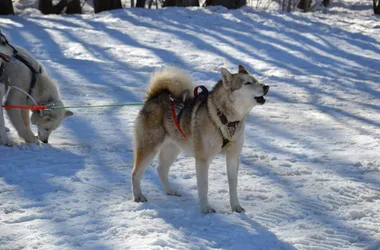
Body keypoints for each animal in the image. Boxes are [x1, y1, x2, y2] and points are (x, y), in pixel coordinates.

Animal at [133, 64, 270, 213]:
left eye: (256, 80)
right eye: (247, 83)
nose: (266, 86)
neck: (225, 119)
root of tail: (154, 97)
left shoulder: (233, 157)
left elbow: (233, 186)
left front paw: (236, 206)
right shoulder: (203, 159)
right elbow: (204, 186)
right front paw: (206, 208)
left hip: (172, 149)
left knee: (161, 169)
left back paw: (170, 191)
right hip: (149, 148)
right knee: (135, 173)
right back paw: (138, 196)